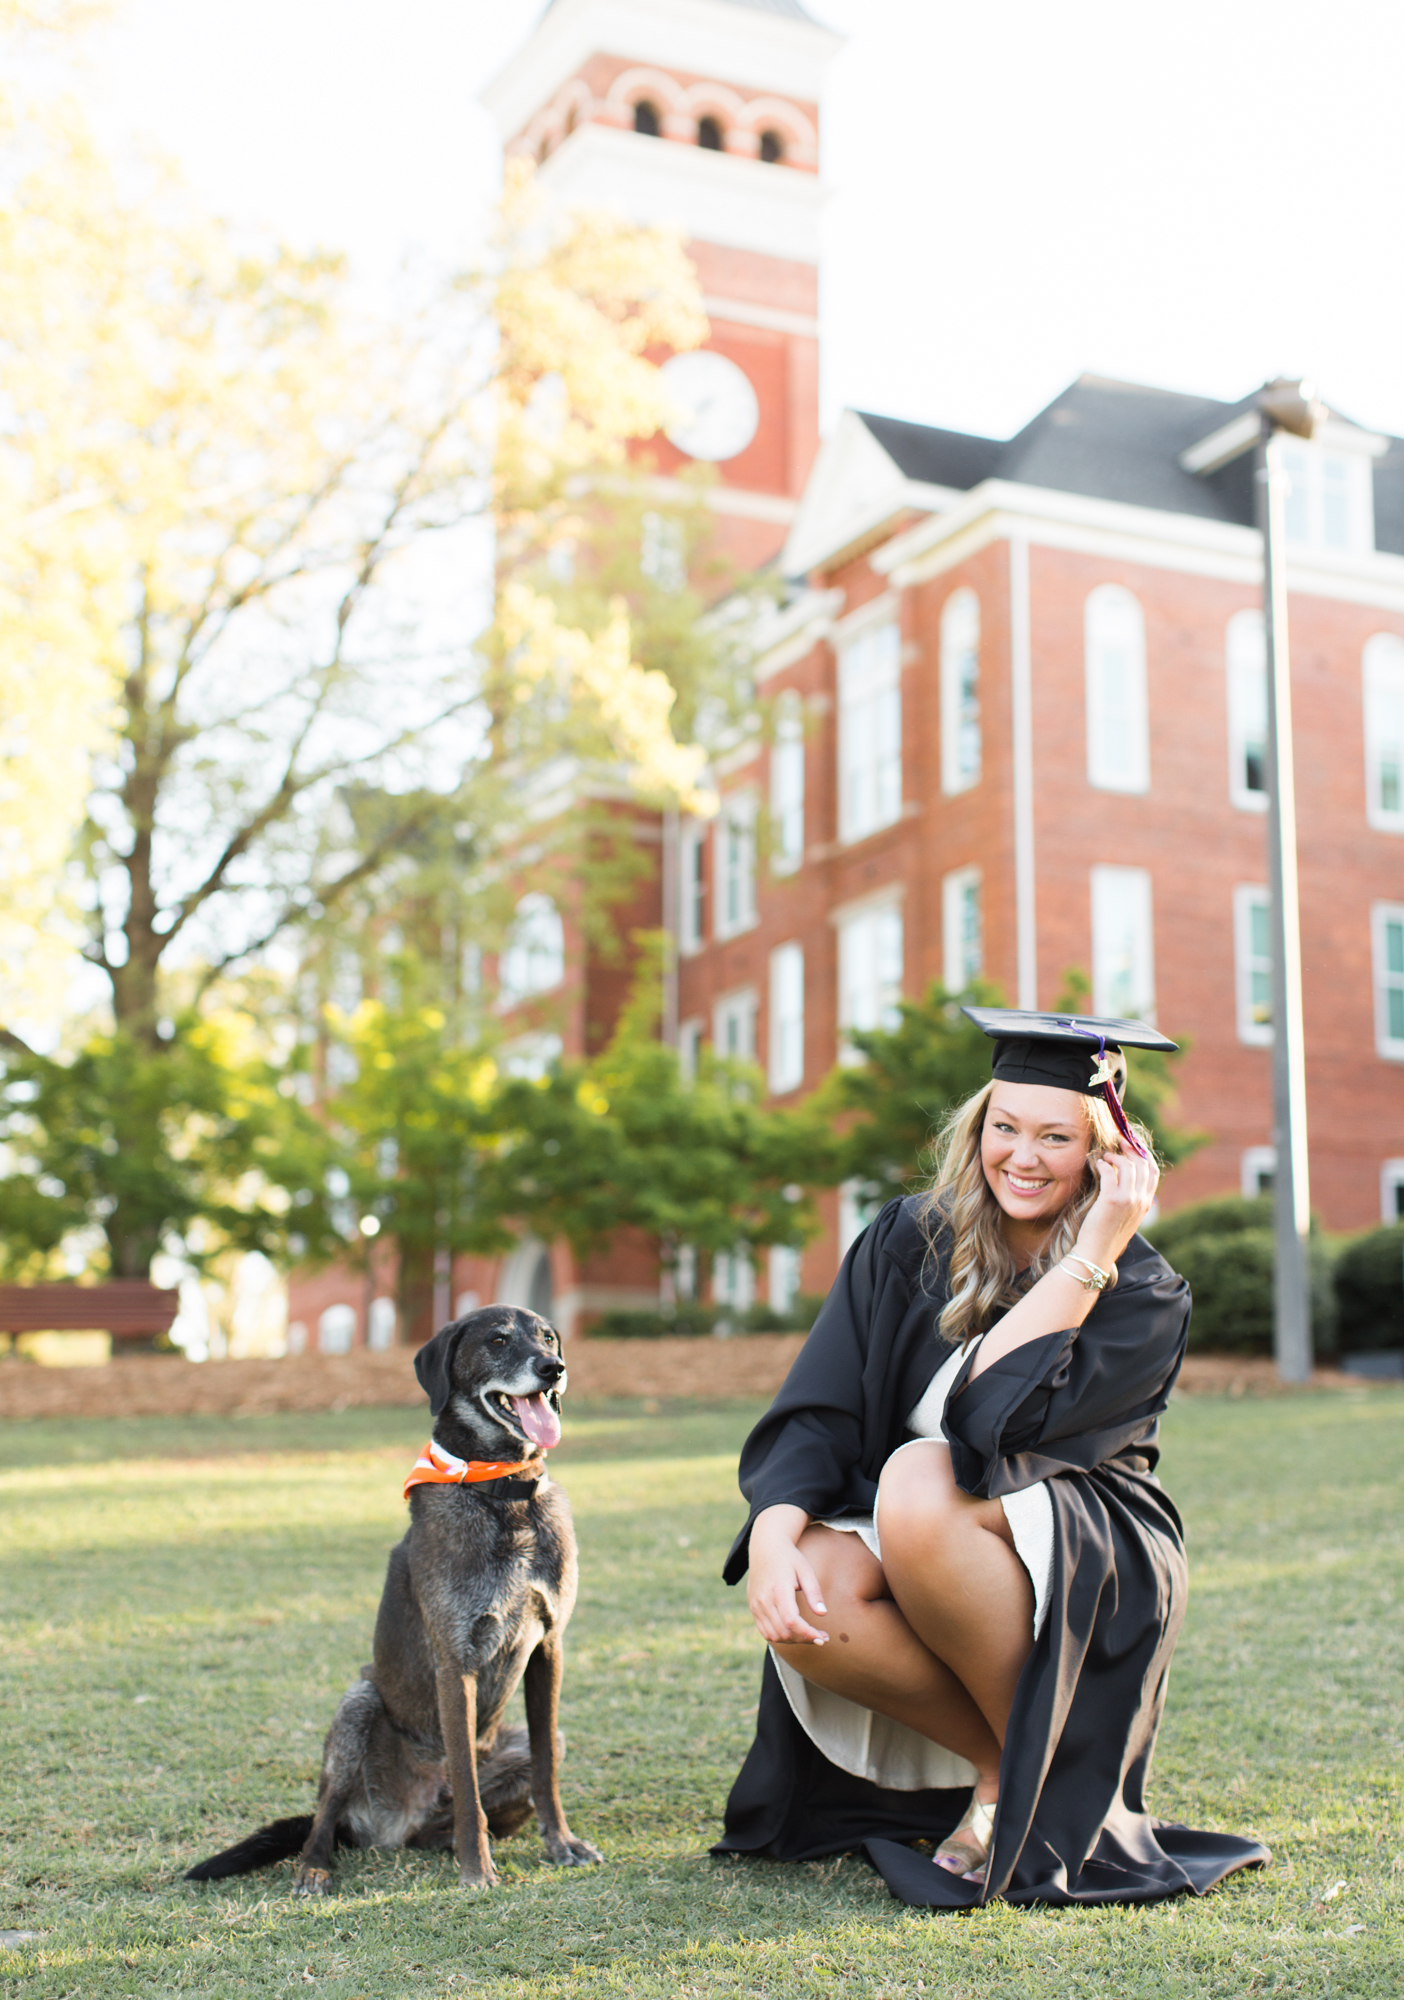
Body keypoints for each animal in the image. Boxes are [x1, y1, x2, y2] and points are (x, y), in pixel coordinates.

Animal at [186, 1304, 600, 1896]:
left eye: (548, 1337)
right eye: (498, 1340)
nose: (553, 1368)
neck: (502, 1493)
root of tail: (395, 1822)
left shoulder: (549, 1648)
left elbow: (545, 1769)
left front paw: (560, 1843)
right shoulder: (456, 1661)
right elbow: (467, 1784)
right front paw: (476, 1873)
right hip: (356, 1705)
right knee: (323, 1819)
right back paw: (315, 1869)